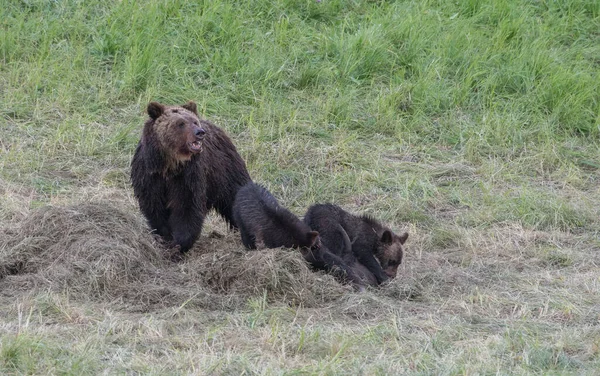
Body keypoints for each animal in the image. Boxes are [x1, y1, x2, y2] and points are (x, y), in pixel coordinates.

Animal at [131, 101, 251, 253]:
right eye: (180, 123)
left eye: (194, 121)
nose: (200, 132)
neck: (169, 166)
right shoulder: (150, 176)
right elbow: (155, 208)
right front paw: (165, 238)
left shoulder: (188, 177)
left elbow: (187, 208)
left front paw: (179, 244)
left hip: (226, 170)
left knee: (237, 193)